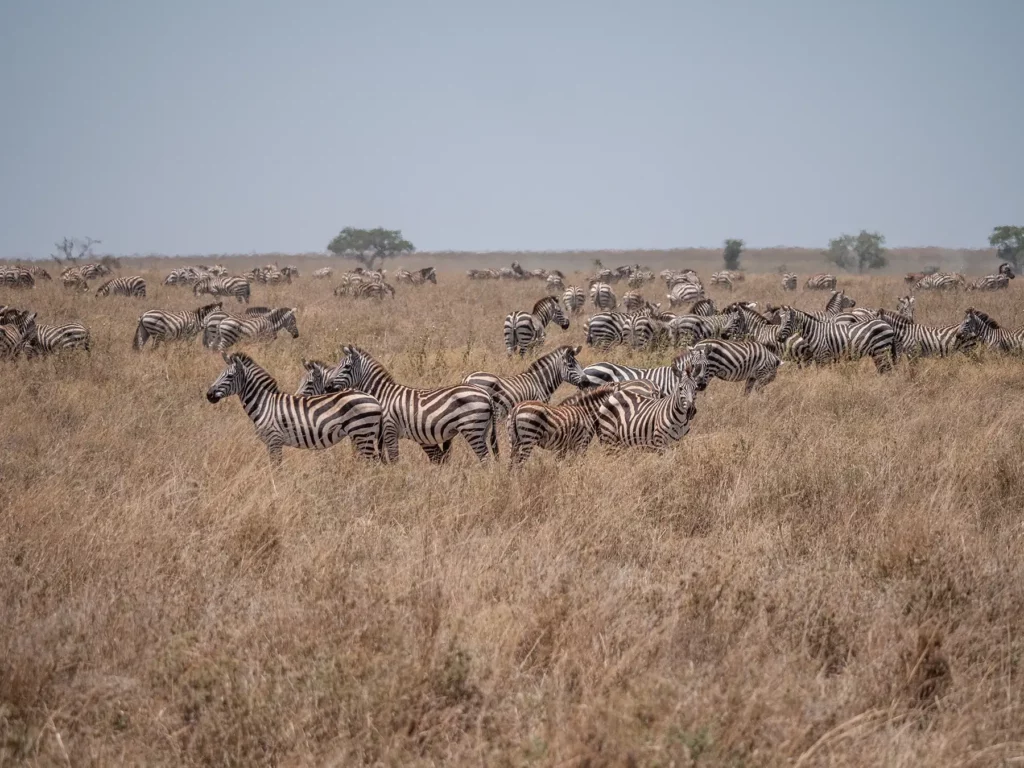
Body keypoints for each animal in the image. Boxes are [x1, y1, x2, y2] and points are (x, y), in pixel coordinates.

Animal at [206, 352, 384, 464]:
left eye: (229, 376)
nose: (209, 395)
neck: (265, 404)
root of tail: (374, 399)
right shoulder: (272, 443)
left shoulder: (274, 441)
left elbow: (276, 469)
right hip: (360, 435)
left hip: (362, 433)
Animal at [309, 345, 498, 463]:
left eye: (347, 367)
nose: (327, 387)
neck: (382, 395)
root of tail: (486, 395)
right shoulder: (382, 434)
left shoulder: (389, 430)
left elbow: (393, 459)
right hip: (482, 429)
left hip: (472, 428)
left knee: (485, 458)